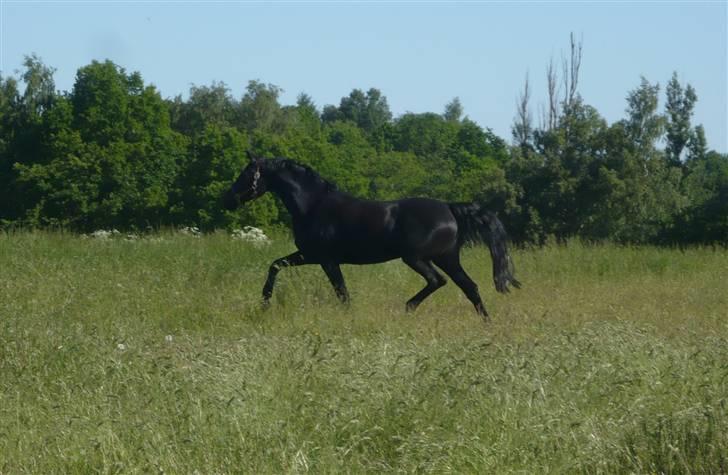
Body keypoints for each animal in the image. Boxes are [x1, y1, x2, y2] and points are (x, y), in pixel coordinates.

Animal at [225, 152, 520, 322]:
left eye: (248, 174)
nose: (227, 199)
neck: (313, 205)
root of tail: (449, 208)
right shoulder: (308, 256)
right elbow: (275, 265)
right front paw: (264, 303)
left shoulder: (325, 259)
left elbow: (342, 292)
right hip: (447, 257)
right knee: (469, 287)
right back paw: (486, 324)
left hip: (417, 258)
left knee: (438, 281)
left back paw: (408, 307)